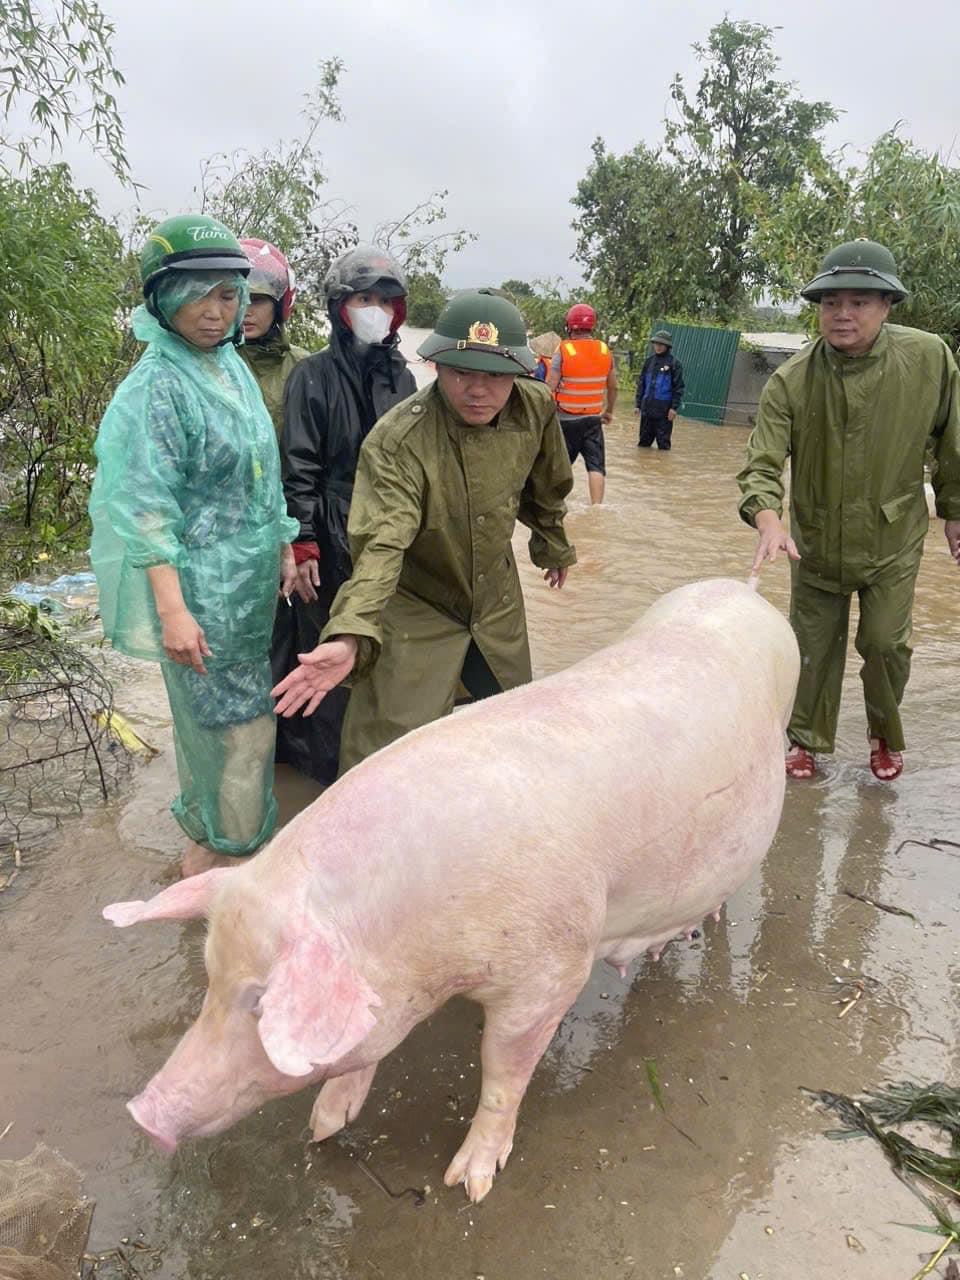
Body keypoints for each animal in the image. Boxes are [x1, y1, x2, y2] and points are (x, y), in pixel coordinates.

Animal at [103, 578, 798, 1198]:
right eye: (211, 980)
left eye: (257, 1001)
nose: (142, 1114)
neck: (423, 951)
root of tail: (747, 591)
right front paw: (324, 1127)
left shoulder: (553, 970)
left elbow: (502, 1072)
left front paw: (468, 1183)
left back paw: (703, 933)